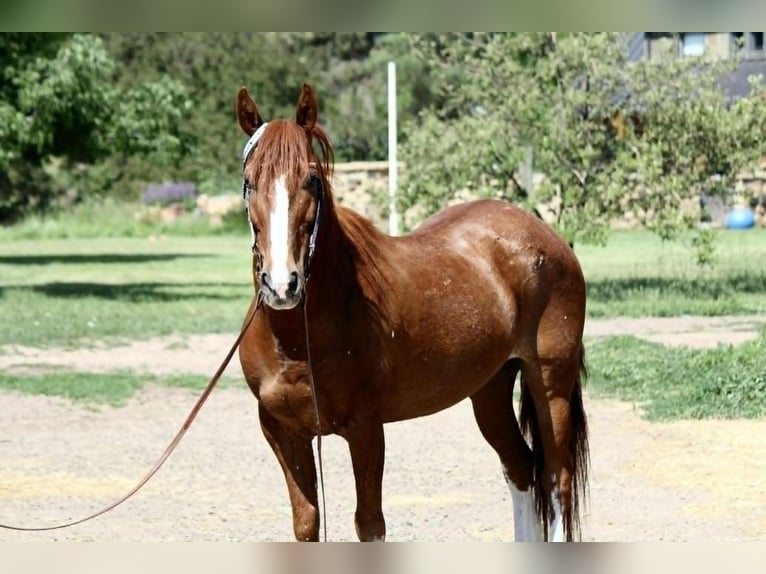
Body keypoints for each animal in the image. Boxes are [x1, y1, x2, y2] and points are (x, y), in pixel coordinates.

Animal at [235, 83, 589, 542]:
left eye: (311, 179)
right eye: (248, 183)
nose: (282, 285)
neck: (298, 338)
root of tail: (548, 237)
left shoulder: (366, 430)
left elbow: (370, 523)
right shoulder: (282, 432)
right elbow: (306, 523)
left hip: (550, 383)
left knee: (555, 478)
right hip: (490, 388)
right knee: (521, 469)